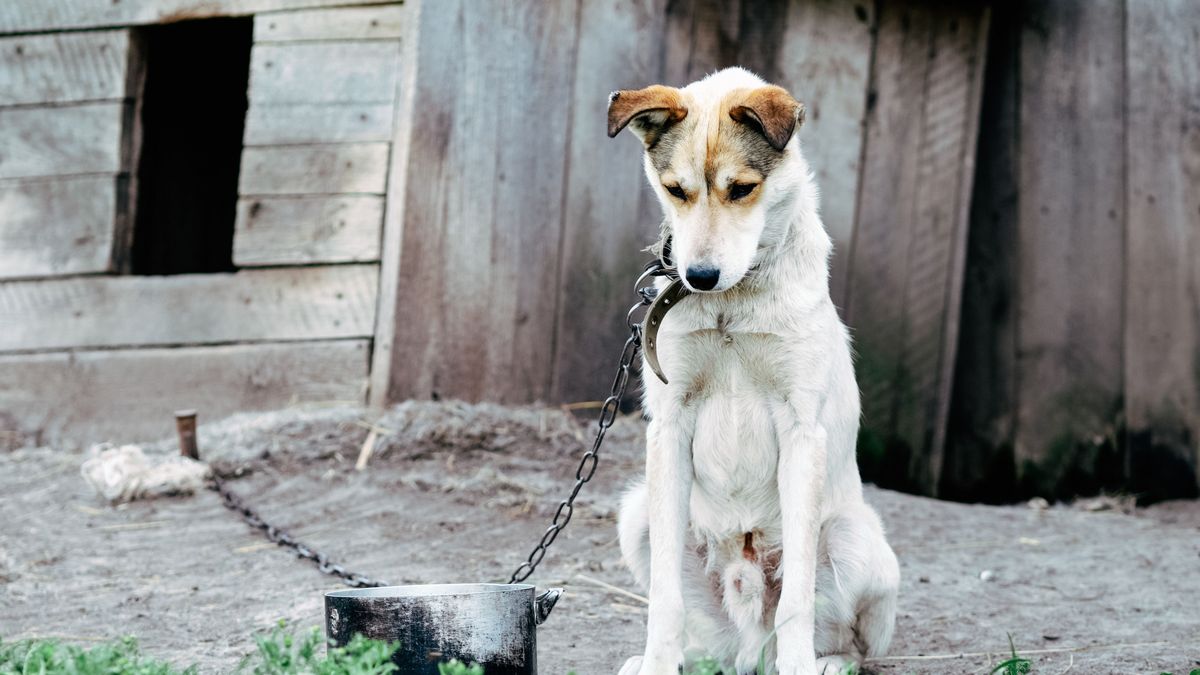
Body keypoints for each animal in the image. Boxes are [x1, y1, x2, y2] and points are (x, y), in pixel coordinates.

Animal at [609, 66, 902, 672]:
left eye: (742, 188)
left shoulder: (801, 431)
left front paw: (801, 664)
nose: (698, 276)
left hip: (854, 538)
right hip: (638, 513)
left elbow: (797, 600)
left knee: (844, 640)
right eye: (676, 190)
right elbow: (665, 600)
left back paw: (823, 663)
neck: (731, 305)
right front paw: (657, 663)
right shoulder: (668, 428)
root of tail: (750, 647)